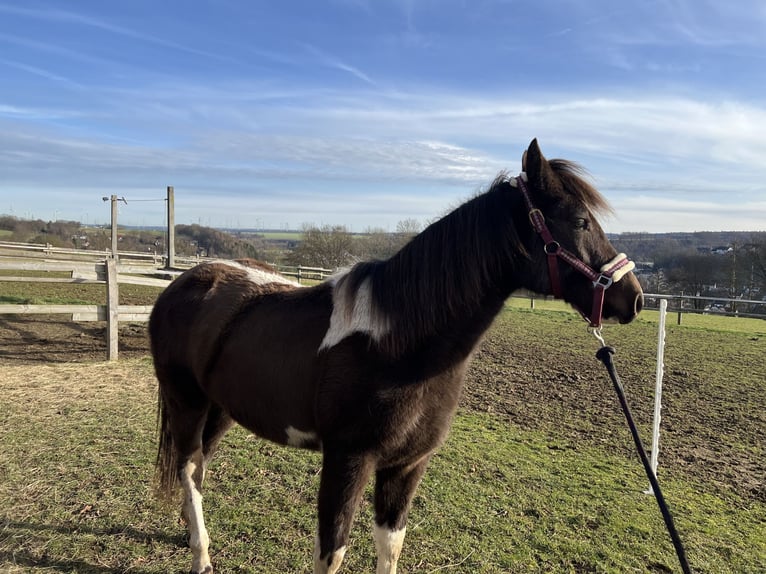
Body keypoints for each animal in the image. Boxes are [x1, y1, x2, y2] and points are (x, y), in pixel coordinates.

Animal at [150, 139, 644, 574]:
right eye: (579, 221)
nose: (633, 298)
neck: (397, 346)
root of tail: (186, 281)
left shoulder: (407, 465)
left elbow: (391, 547)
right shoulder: (347, 460)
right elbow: (332, 552)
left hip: (222, 408)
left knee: (196, 467)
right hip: (185, 402)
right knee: (189, 467)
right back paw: (201, 556)